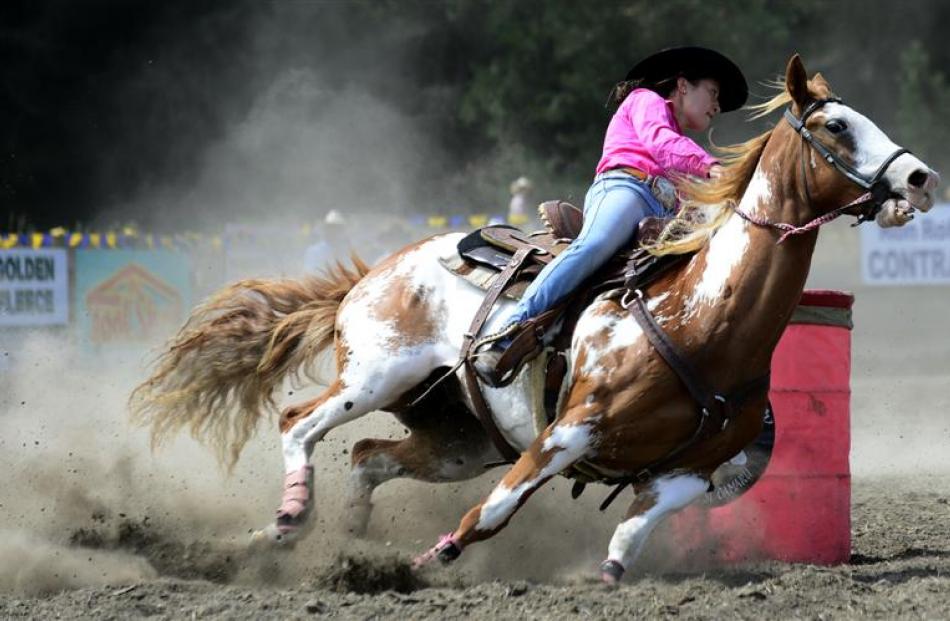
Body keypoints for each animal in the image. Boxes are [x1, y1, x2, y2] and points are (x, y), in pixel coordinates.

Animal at [132, 57, 936, 580]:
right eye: (836, 125)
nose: (920, 178)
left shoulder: (690, 471)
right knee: (300, 422)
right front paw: (433, 558)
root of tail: (376, 270)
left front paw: (607, 574)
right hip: (375, 374)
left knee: (367, 457)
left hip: (458, 438)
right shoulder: (566, 431)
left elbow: (632, 533)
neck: (704, 320)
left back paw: (347, 544)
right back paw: (293, 518)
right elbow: (492, 515)